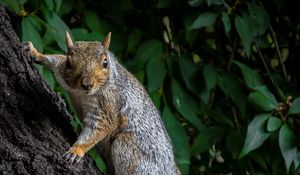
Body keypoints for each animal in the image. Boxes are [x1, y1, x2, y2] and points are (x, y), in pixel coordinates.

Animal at [24, 31, 180, 175]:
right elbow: (56, 59)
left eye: (105, 62)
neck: (82, 94)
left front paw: (76, 150)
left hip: (129, 153)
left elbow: (100, 126)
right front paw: (34, 52)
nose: (87, 84)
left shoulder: (108, 105)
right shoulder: (63, 73)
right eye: (69, 63)